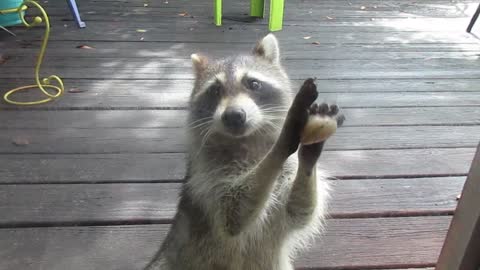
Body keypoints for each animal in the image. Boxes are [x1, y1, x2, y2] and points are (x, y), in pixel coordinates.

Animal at [144, 33, 344, 270]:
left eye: (253, 83)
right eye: (215, 90)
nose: (233, 116)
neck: (248, 141)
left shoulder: (287, 173)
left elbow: (299, 211)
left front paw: (309, 155)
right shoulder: (206, 177)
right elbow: (233, 212)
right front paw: (284, 138)